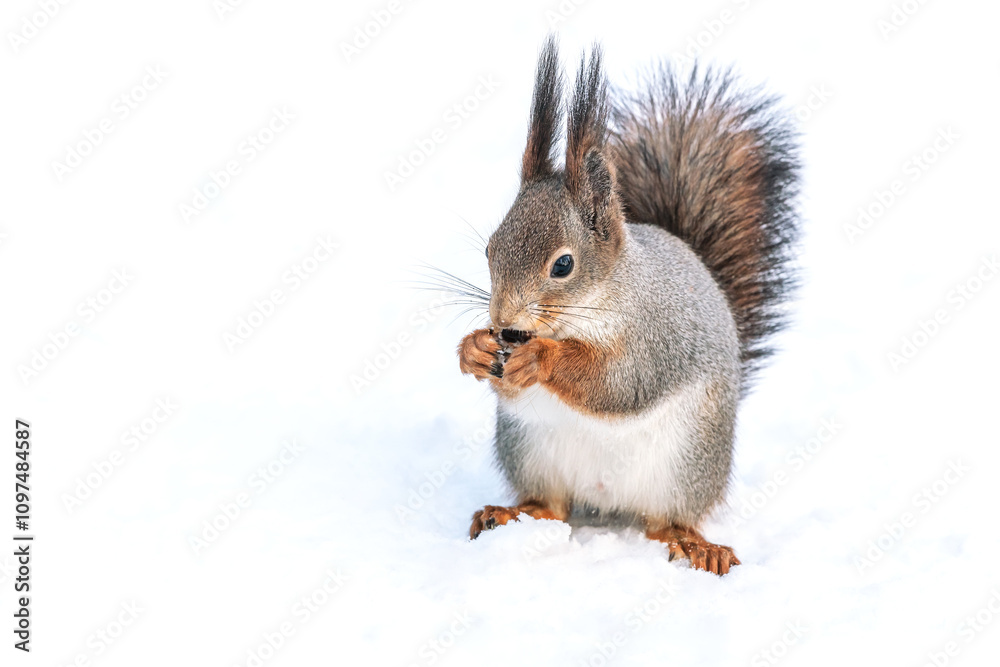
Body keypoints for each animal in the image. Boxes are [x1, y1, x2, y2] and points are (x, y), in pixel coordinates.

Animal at [457, 37, 799, 576]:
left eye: (563, 265)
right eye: (490, 249)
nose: (503, 324)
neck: (597, 303)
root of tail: (605, 500)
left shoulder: (655, 337)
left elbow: (618, 384)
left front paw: (542, 359)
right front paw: (473, 349)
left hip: (684, 466)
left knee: (665, 521)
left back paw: (694, 544)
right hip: (530, 452)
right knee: (552, 507)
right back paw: (509, 513)